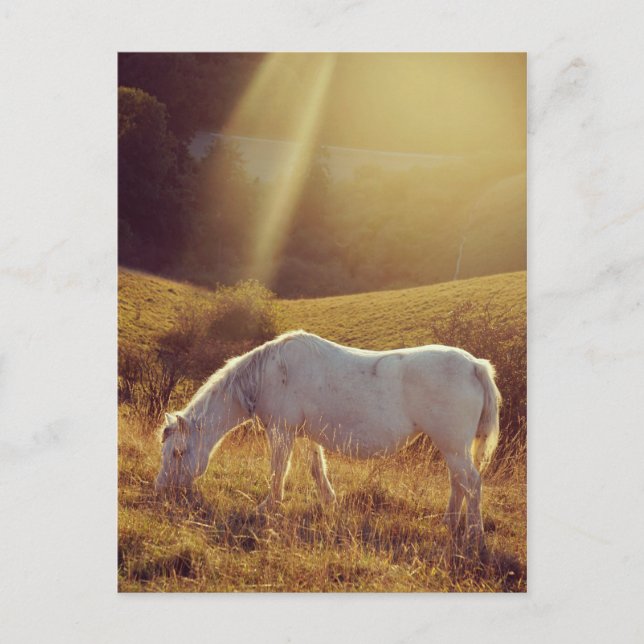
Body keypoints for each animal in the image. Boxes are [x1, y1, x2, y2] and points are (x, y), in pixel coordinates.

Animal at [155, 330, 501, 552]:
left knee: (471, 482)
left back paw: (473, 535)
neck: (270, 373)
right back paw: (450, 523)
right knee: (458, 481)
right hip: (453, 447)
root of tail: (475, 365)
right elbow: (316, 469)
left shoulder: (281, 431)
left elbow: (278, 471)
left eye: (177, 453)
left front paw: (268, 507)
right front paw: (329, 503)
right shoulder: (307, 435)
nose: (162, 490)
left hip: (453, 446)